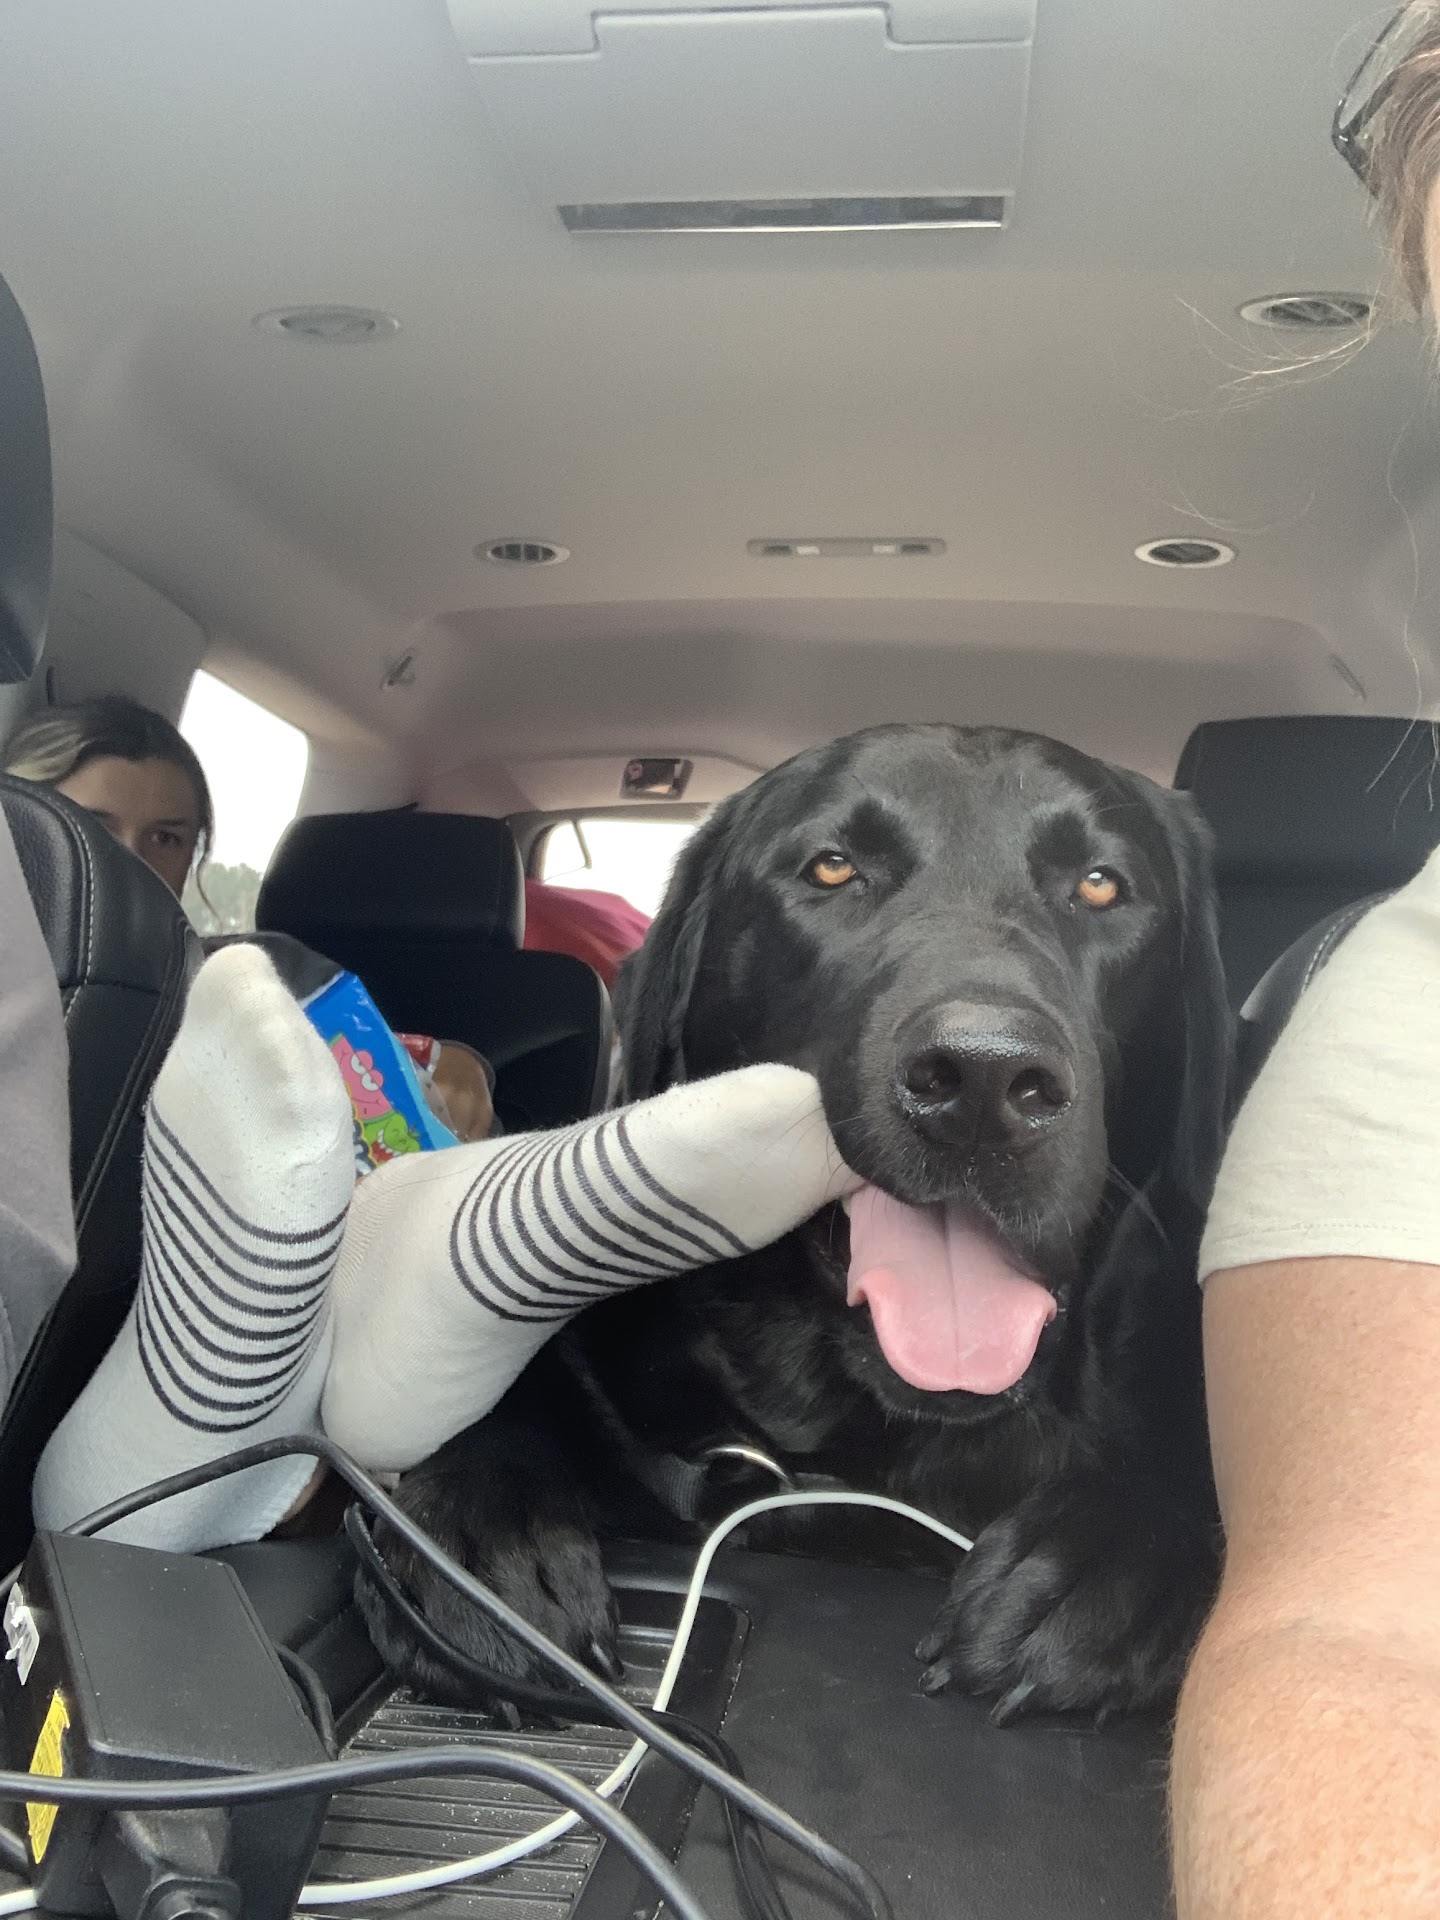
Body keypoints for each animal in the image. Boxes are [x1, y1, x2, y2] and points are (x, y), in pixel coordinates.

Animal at [361, 724, 1232, 1720]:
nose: (983, 1080)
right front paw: (483, 1524)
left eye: (1100, 884)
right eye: (832, 867)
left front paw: (1110, 1549)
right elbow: (508, 1382)